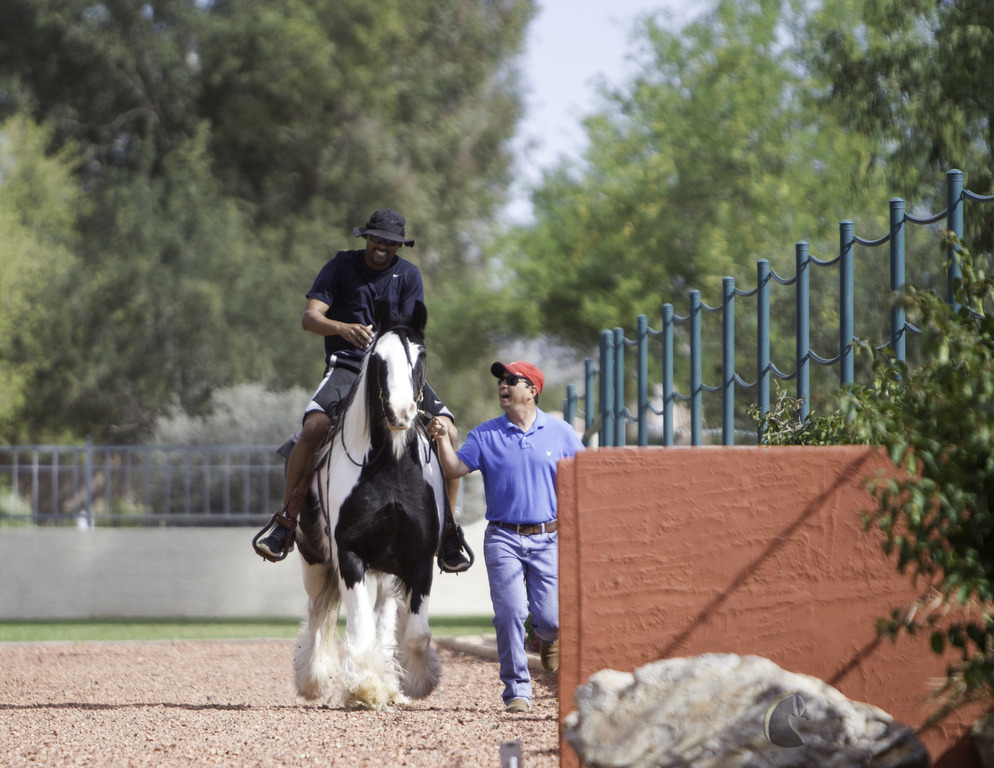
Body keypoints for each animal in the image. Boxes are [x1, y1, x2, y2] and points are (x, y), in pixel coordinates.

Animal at [292, 299, 446, 709]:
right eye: (378, 359)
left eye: (421, 356)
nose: (401, 413)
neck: (391, 467)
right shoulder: (350, 555)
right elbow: (358, 630)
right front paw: (363, 687)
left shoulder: (419, 558)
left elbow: (415, 633)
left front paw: (414, 683)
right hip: (314, 560)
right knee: (317, 613)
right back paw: (312, 678)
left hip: (386, 572)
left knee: (382, 617)